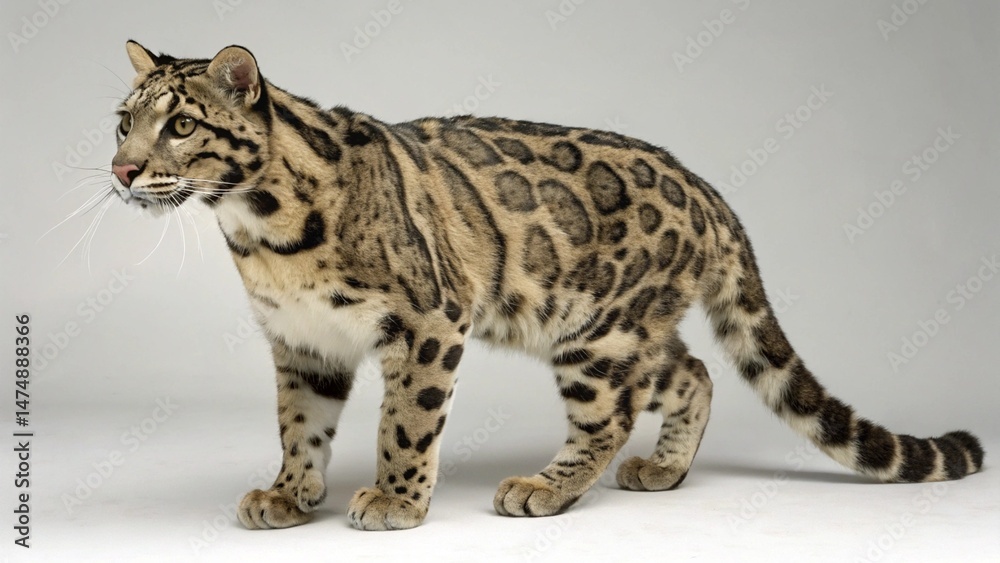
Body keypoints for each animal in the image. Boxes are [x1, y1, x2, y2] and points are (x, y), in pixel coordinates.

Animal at [108, 41, 984, 531]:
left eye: (180, 125)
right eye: (123, 119)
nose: (120, 169)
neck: (261, 235)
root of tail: (705, 188)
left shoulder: (430, 319)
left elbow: (405, 421)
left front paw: (395, 499)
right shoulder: (301, 340)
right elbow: (300, 426)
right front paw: (290, 494)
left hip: (595, 333)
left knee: (615, 411)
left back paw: (546, 485)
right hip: (619, 329)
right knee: (692, 370)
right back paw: (665, 468)